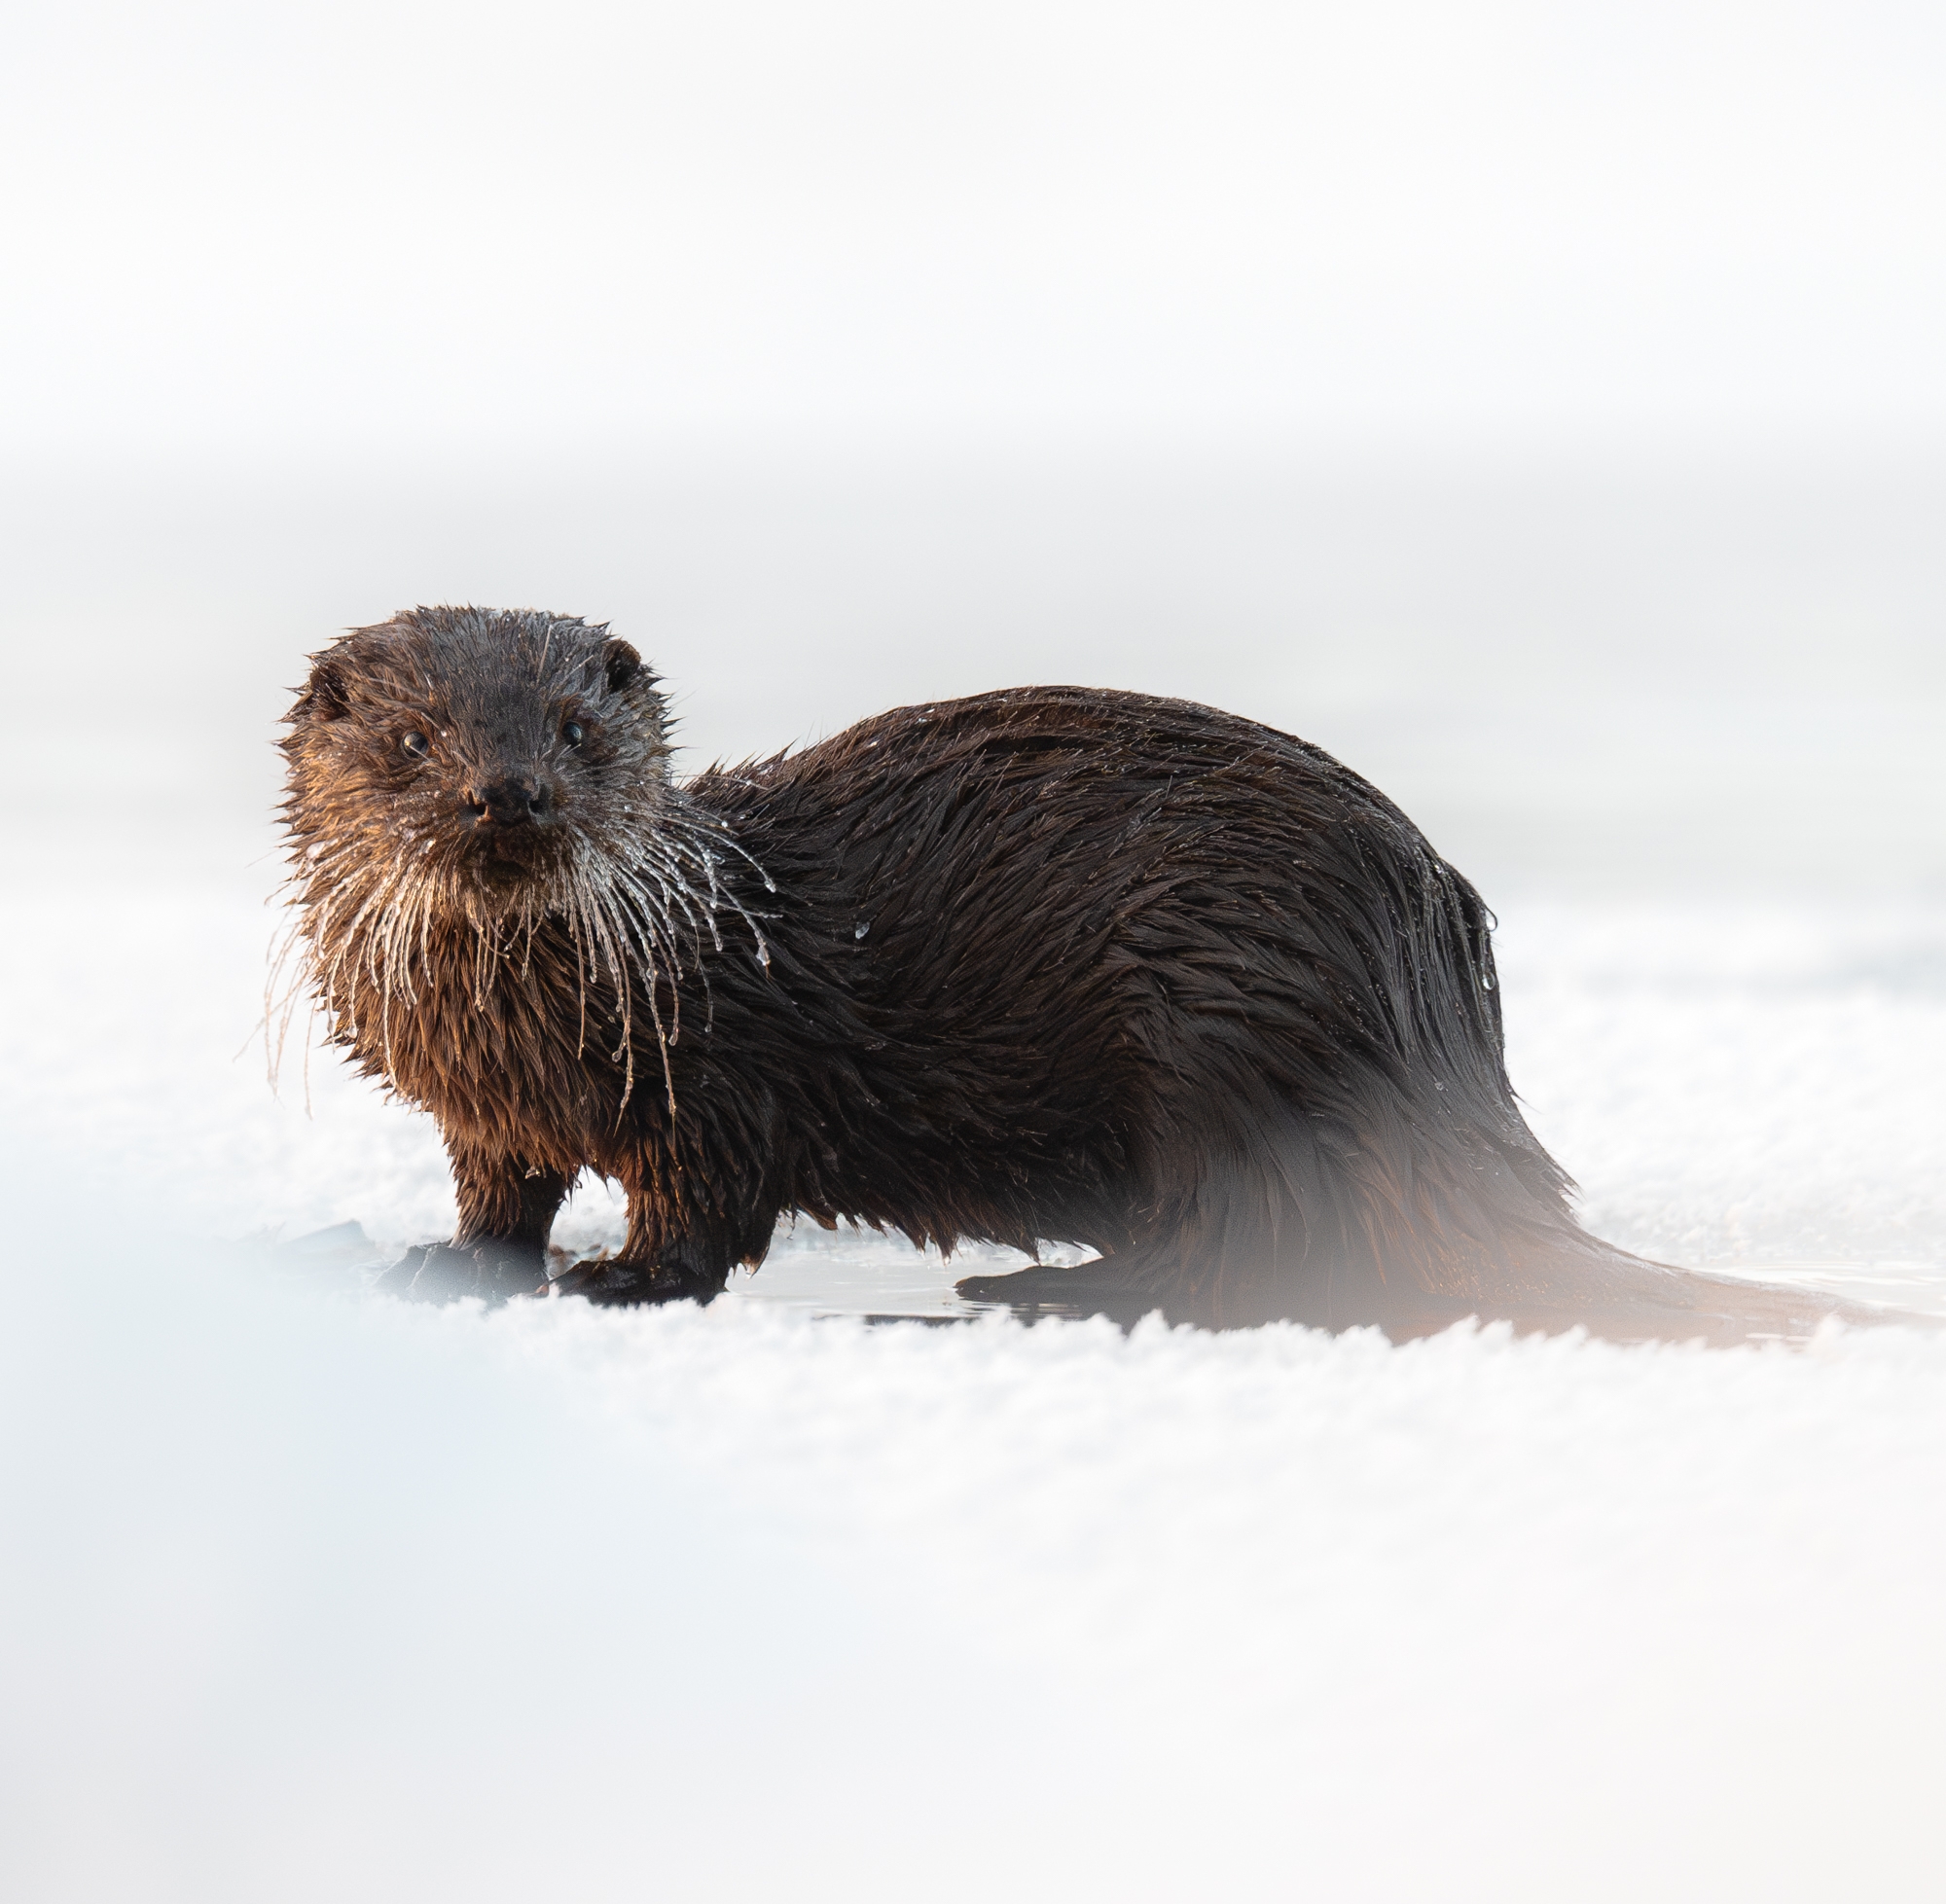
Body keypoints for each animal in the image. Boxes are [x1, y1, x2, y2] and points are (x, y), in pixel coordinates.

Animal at [278, 604, 1862, 1342]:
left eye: (573, 731)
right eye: (415, 738)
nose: (509, 794)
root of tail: (1448, 1026)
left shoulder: (717, 1074)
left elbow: (705, 1208)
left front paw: (617, 1277)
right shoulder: (485, 1109)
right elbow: (499, 1187)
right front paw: (447, 1256)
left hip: (1226, 1024)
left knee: (1247, 1246)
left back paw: (1025, 1286)